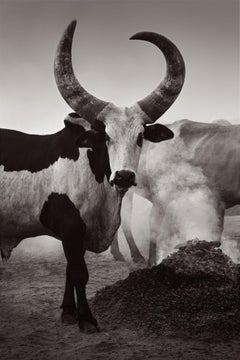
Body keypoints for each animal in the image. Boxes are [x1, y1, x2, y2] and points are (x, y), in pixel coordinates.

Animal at [0, 20, 186, 332]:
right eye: (105, 137)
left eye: (140, 137)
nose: (124, 176)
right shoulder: (71, 228)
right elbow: (79, 272)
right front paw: (86, 320)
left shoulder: (77, 234)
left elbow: (69, 270)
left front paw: (68, 312)